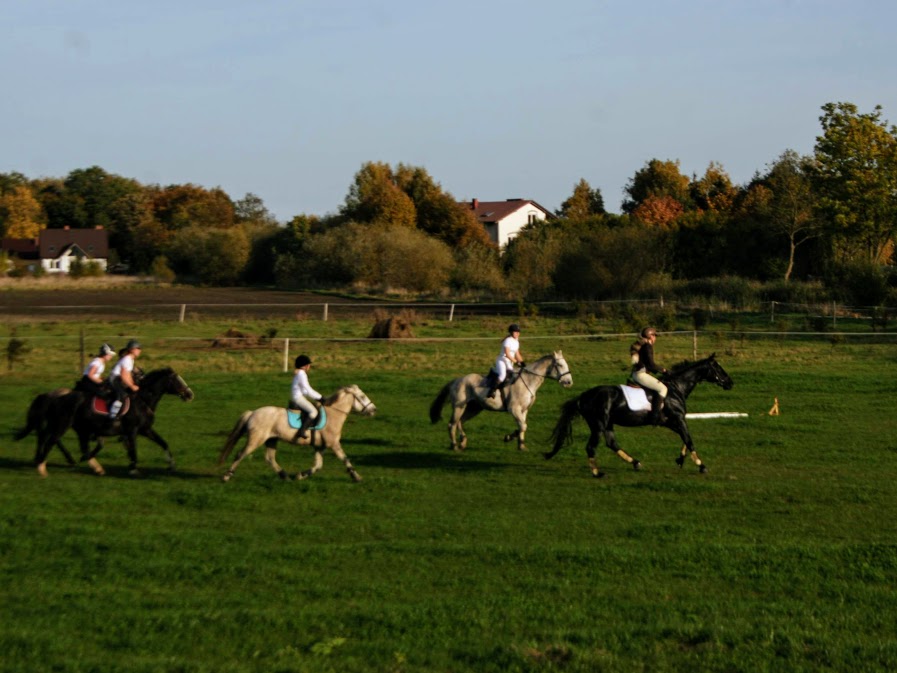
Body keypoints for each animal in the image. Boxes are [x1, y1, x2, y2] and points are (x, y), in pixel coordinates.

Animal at [32, 370, 193, 476]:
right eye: (177, 380)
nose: (190, 394)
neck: (143, 401)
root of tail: (56, 398)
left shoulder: (145, 429)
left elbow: (163, 443)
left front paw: (171, 465)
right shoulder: (132, 430)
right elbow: (133, 449)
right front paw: (133, 468)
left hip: (80, 428)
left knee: (81, 446)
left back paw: (95, 467)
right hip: (63, 425)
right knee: (51, 441)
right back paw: (41, 467)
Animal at [219, 384, 376, 484]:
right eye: (362, 396)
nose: (374, 410)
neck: (333, 414)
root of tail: (252, 413)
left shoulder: (320, 446)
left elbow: (318, 465)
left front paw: (300, 476)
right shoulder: (334, 444)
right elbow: (345, 459)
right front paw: (357, 477)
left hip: (272, 440)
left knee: (270, 458)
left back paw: (285, 476)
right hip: (256, 440)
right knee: (241, 454)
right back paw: (226, 477)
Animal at [428, 352, 572, 452]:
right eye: (560, 365)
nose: (569, 382)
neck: (528, 381)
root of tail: (456, 380)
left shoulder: (523, 410)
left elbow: (522, 426)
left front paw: (521, 445)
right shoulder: (514, 409)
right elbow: (522, 426)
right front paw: (509, 438)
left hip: (474, 408)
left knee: (460, 422)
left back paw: (463, 442)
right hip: (459, 406)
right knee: (452, 424)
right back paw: (454, 445)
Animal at [544, 352, 732, 478]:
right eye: (718, 367)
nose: (731, 383)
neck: (676, 388)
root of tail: (584, 396)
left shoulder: (672, 421)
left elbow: (685, 439)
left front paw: (680, 459)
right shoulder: (678, 419)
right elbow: (688, 439)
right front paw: (701, 466)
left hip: (608, 424)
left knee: (612, 443)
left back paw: (635, 463)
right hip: (598, 425)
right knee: (591, 447)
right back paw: (597, 473)